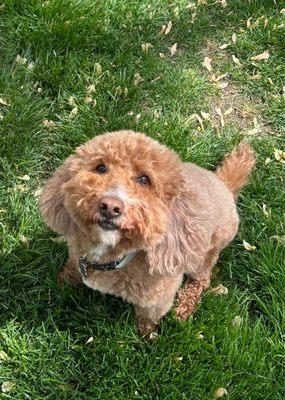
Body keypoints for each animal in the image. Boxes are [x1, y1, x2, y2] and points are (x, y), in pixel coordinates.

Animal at [38, 130, 254, 334]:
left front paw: (146, 336)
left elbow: (146, 319)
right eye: (101, 167)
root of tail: (224, 183)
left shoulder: (157, 301)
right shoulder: (76, 253)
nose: (110, 206)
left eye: (144, 179)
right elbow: (71, 268)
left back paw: (183, 310)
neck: (112, 257)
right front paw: (61, 282)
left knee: (202, 280)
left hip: (204, 254)